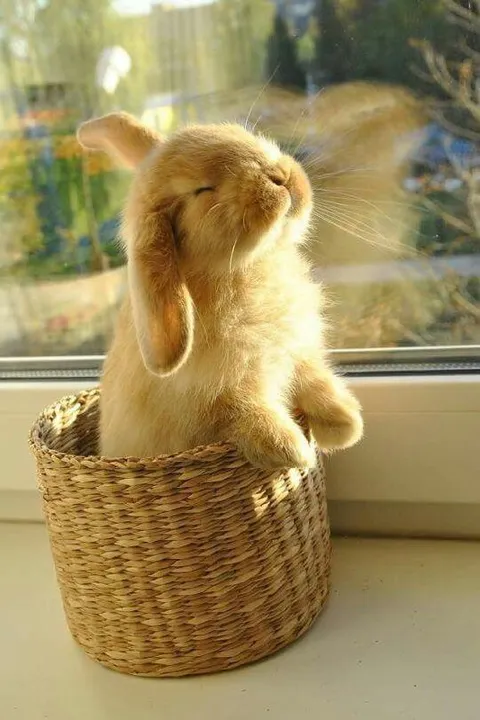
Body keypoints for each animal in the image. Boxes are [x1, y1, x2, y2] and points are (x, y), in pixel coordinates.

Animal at [77, 112, 363, 469]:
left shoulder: (296, 351)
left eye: (243, 135)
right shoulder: (216, 397)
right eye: (203, 190)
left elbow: (314, 380)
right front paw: (292, 450)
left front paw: (346, 424)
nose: (279, 176)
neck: (246, 268)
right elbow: (243, 412)